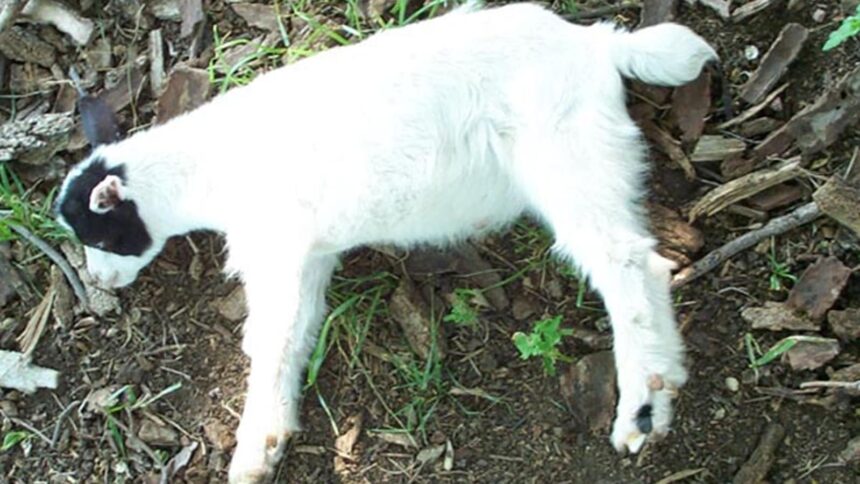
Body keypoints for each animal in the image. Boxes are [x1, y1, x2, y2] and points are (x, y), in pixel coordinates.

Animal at [55, 3, 717, 482]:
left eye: (100, 233)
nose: (99, 283)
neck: (208, 167)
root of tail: (598, 46)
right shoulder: (309, 253)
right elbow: (297, 334)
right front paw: (272, 438)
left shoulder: (274, 245)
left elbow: (269, 340)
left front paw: (250, 452)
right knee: (645, 261)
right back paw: (663, 388)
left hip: (567, 155)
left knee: (627, 264)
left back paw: (639, 411)